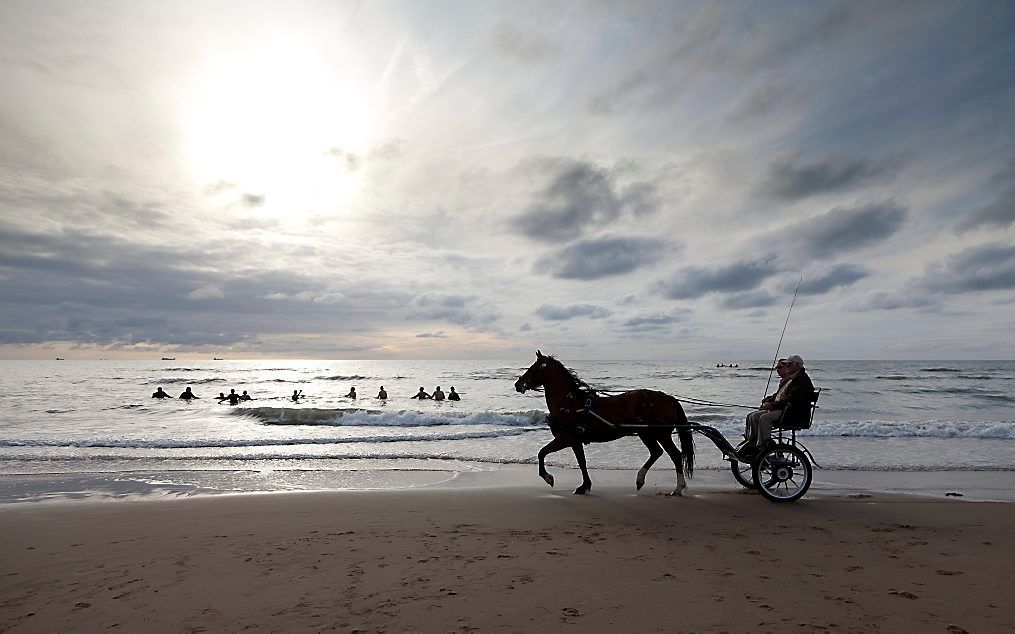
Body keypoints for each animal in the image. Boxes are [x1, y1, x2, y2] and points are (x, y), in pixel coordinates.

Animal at [511, 350, 694, 495]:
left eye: (534, 369)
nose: (518, 384)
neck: (568, 403)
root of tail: (668, 398)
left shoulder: (565, 439)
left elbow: (542, 453)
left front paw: (549, 477)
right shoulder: (575, 440)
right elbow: (581, 462)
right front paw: (585, 485)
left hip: (661, 434)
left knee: (675, 455)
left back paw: (677, 488)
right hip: (646, 433)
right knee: (656, 452)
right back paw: (640, 479)